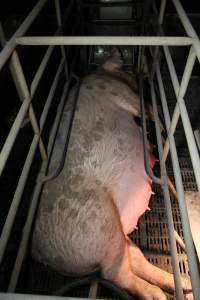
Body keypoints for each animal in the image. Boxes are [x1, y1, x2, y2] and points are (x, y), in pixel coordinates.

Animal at [32, 48, 192, 298]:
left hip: (118, 237)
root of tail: (38, 252)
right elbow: (146, 109)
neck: (103, 74)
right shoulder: (123, 94)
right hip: (102, 230)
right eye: (126, 68)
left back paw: (182, 284)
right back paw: (158, 294)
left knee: (135, 259)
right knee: (116, 275)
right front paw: (157, 119)